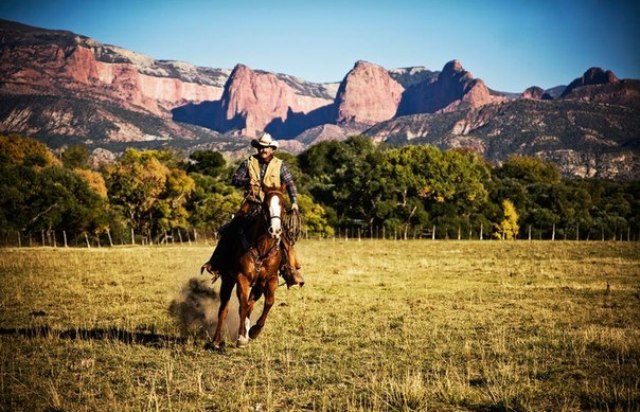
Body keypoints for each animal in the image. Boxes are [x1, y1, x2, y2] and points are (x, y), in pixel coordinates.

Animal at [206, 187, 286, 348]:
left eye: (283, 205)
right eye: (265, 205)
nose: (274, 230)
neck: (262, 248)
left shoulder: (270, 279)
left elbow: (269, 302)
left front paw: (254, 331)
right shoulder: (242, 278)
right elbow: (242, 305)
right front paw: (242, 338)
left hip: (257, 286)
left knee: (250, 305)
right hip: (228, 280)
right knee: (224, 309)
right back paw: (216, 340)